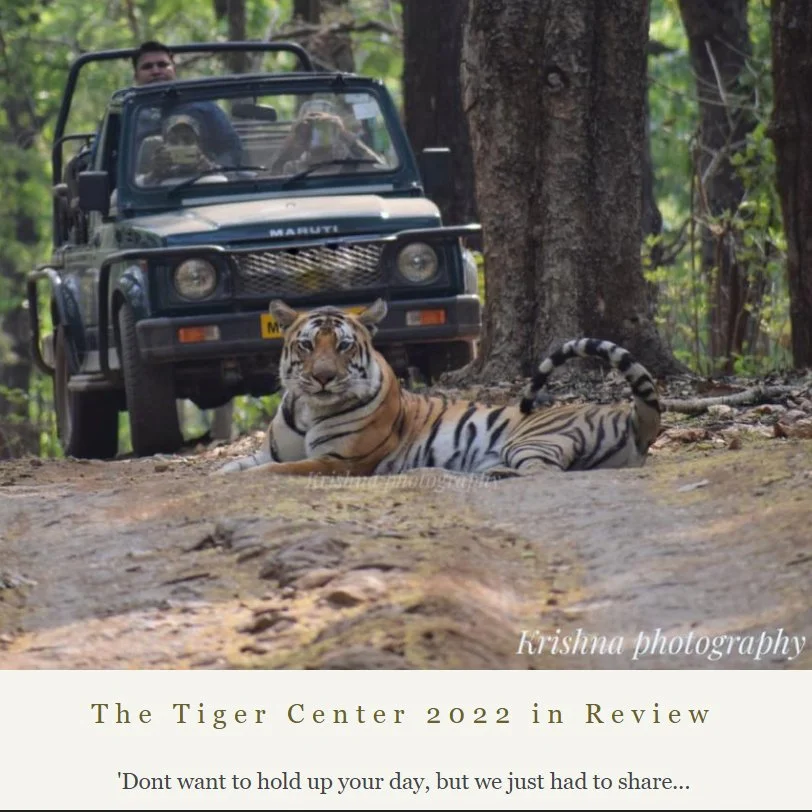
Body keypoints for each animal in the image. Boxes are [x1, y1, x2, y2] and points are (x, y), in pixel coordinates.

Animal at [215, 298, 661, 477]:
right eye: (307, 345)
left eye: (343, 346)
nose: (323, 377)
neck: (309, 409)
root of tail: (633, 417)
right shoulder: (268, 450)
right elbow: (236, 464)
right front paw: (222, 474)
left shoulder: (339, 461)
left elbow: (279, 470)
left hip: (533, 438)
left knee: (546, 474)